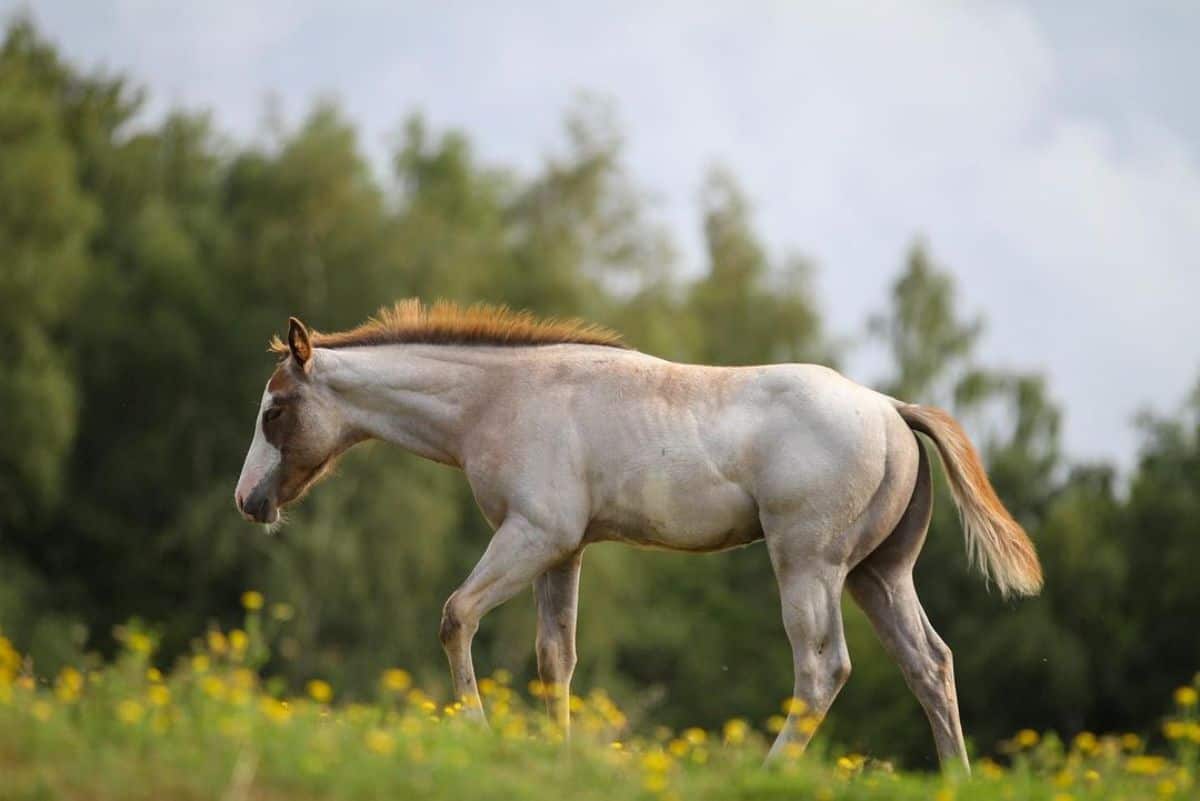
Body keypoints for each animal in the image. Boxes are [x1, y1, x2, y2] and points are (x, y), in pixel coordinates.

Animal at [234, 299, 1041, 767]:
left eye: (274, 410)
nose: (248, 500)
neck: (500, 397)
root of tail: (889, 408)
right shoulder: (564, 550)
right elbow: (555, 659)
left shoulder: (533, 533)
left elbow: (456, 616)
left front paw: (480, 734)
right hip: (879, 574)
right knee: (930, 665)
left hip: (807, 563)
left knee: (822, 671)